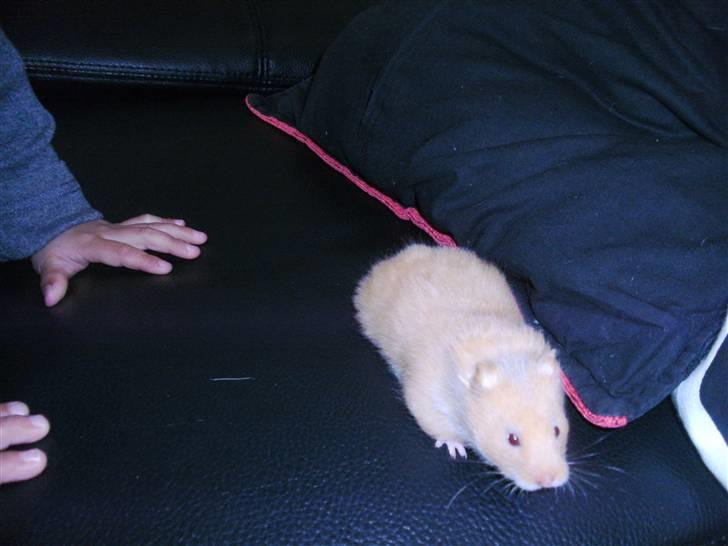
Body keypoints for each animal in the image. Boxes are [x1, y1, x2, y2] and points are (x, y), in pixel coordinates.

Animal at [353, 244, 569, 491]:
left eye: (557, 430)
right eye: (512, 439)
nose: (548, 482)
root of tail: (394, 258)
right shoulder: (426, 397)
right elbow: (438, 425)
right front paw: (457, 450)